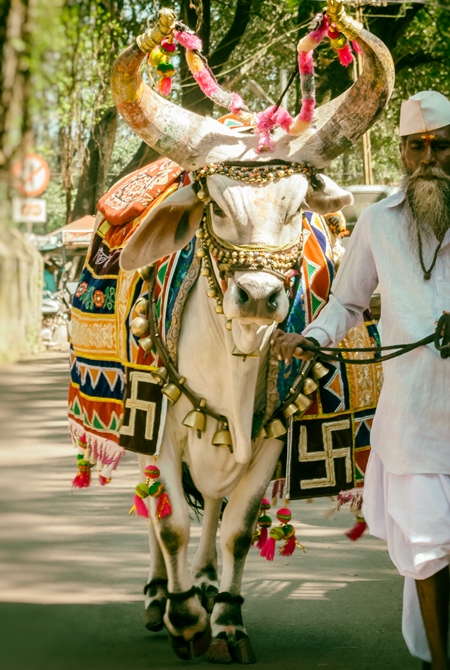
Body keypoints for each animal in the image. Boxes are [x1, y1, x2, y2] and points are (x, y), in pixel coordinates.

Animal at [67, 2, 394, 668]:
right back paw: (160, 594)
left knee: (214, 510)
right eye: (215, 206)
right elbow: (169, 522)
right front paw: (185, 616)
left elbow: (238, 529)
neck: (236, 363)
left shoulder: (272, 434)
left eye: (298, 206)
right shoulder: (161, 424)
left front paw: (226, 620)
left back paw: (204, 583)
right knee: (157, 513)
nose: (260, 297)